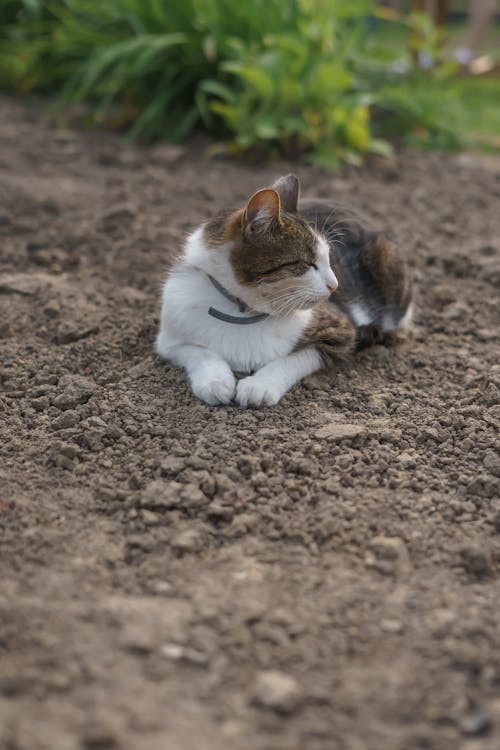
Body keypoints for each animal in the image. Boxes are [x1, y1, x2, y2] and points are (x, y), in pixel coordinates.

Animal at [155, 174, 410, 408]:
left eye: (329, 258)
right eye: (307, 263)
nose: (335, 285)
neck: (241, 310)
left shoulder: (342, 331)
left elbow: (294, 358)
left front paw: (259, 386)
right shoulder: (169, 338)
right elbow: (199, 351)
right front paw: (215, 382)